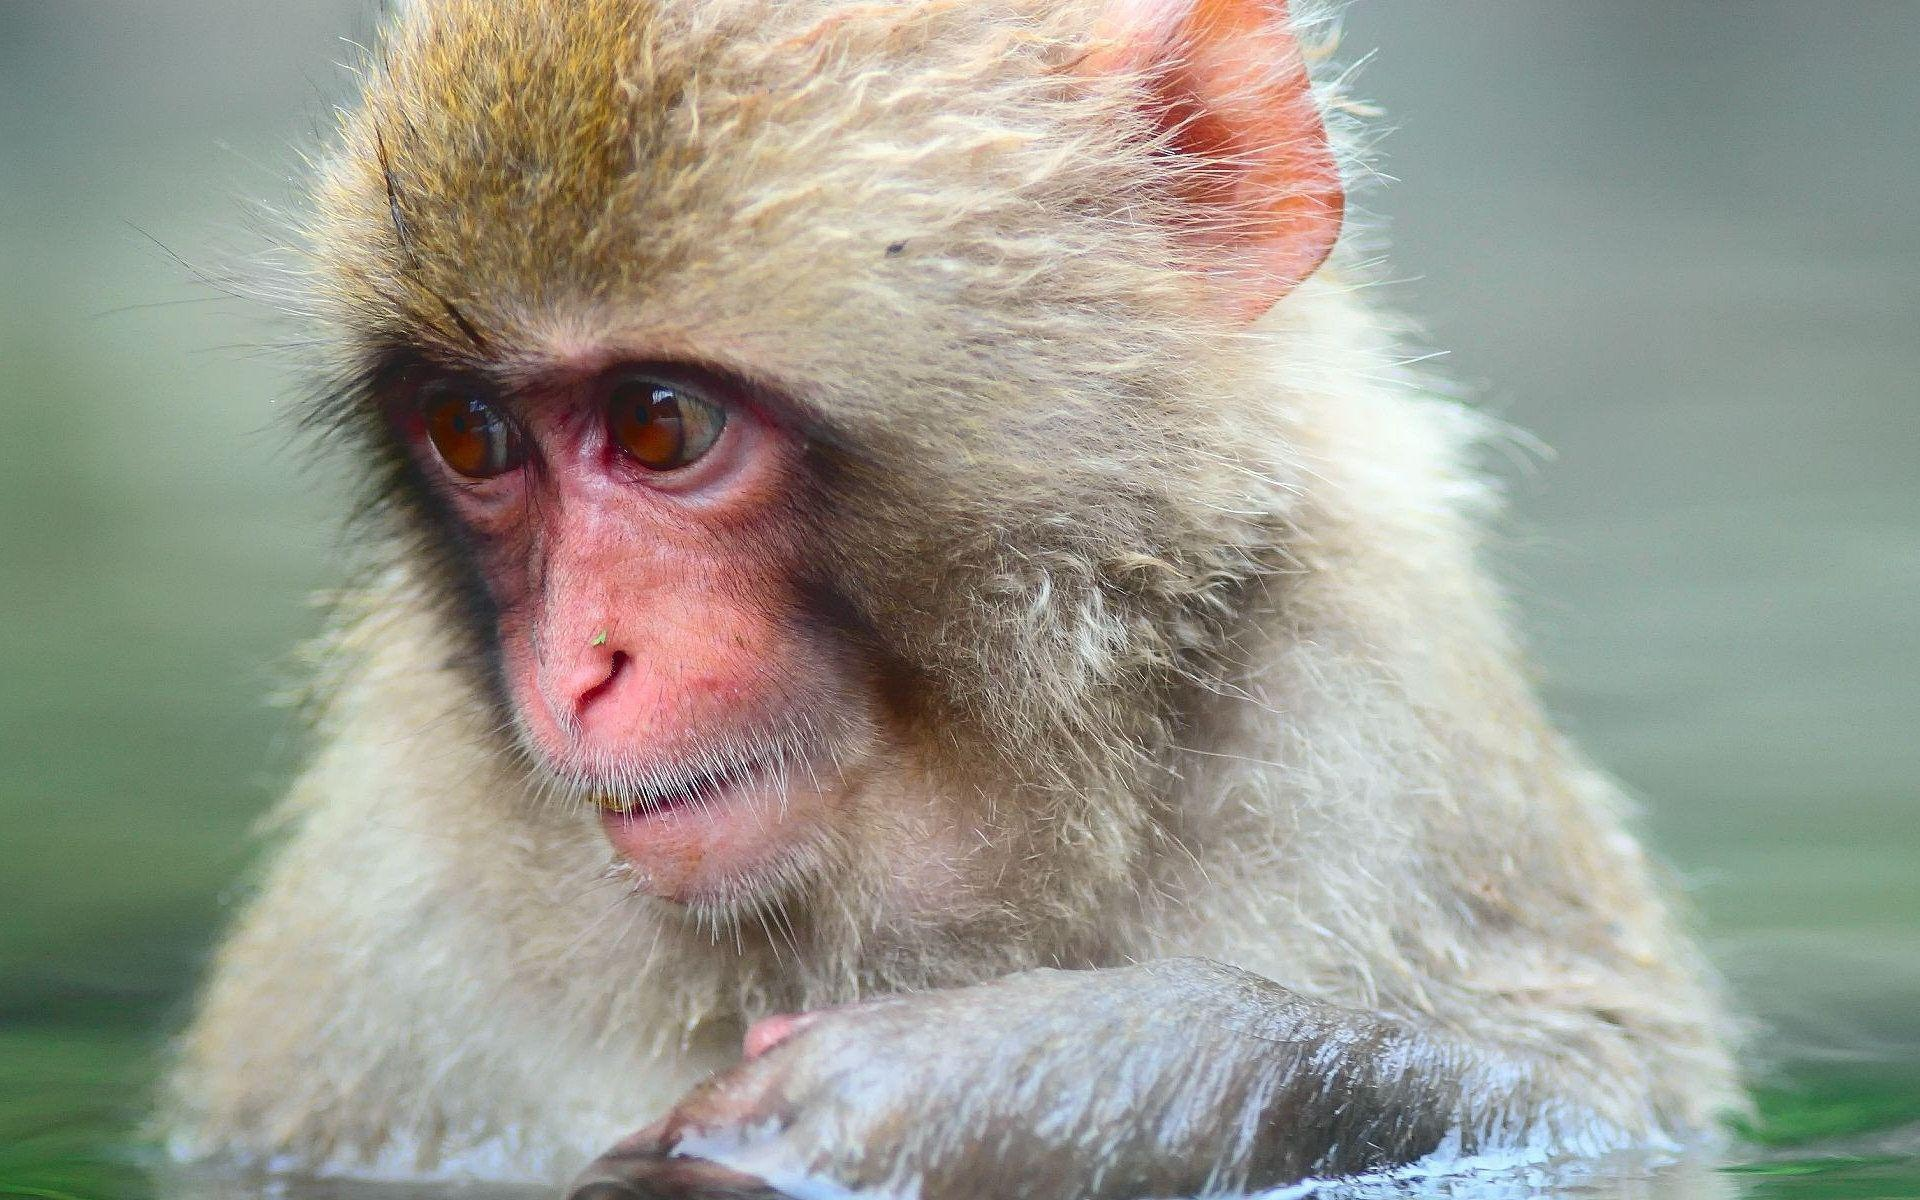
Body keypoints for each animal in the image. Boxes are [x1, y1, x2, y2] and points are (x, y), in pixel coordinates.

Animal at [165, 0, 1751, 1190]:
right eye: (474, 437)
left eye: (662, 425)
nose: (576, 672)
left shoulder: (1386, 713)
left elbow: (1584, 1085)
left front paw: (997, 1078)